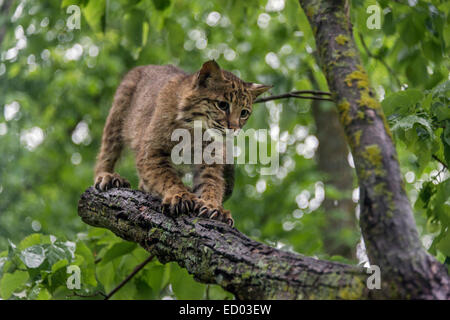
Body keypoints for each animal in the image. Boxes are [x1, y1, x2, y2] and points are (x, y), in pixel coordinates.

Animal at [94, 60, 270, 225]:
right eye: (222, 105)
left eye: (244, 113)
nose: (234, 129)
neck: (195, 130)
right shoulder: (152, 152)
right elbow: (166, 177)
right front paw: (179, 195)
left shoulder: (209, 159)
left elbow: (212, 183)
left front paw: (214, 206)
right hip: (117, 116)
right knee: (107, 153)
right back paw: (106, 176)